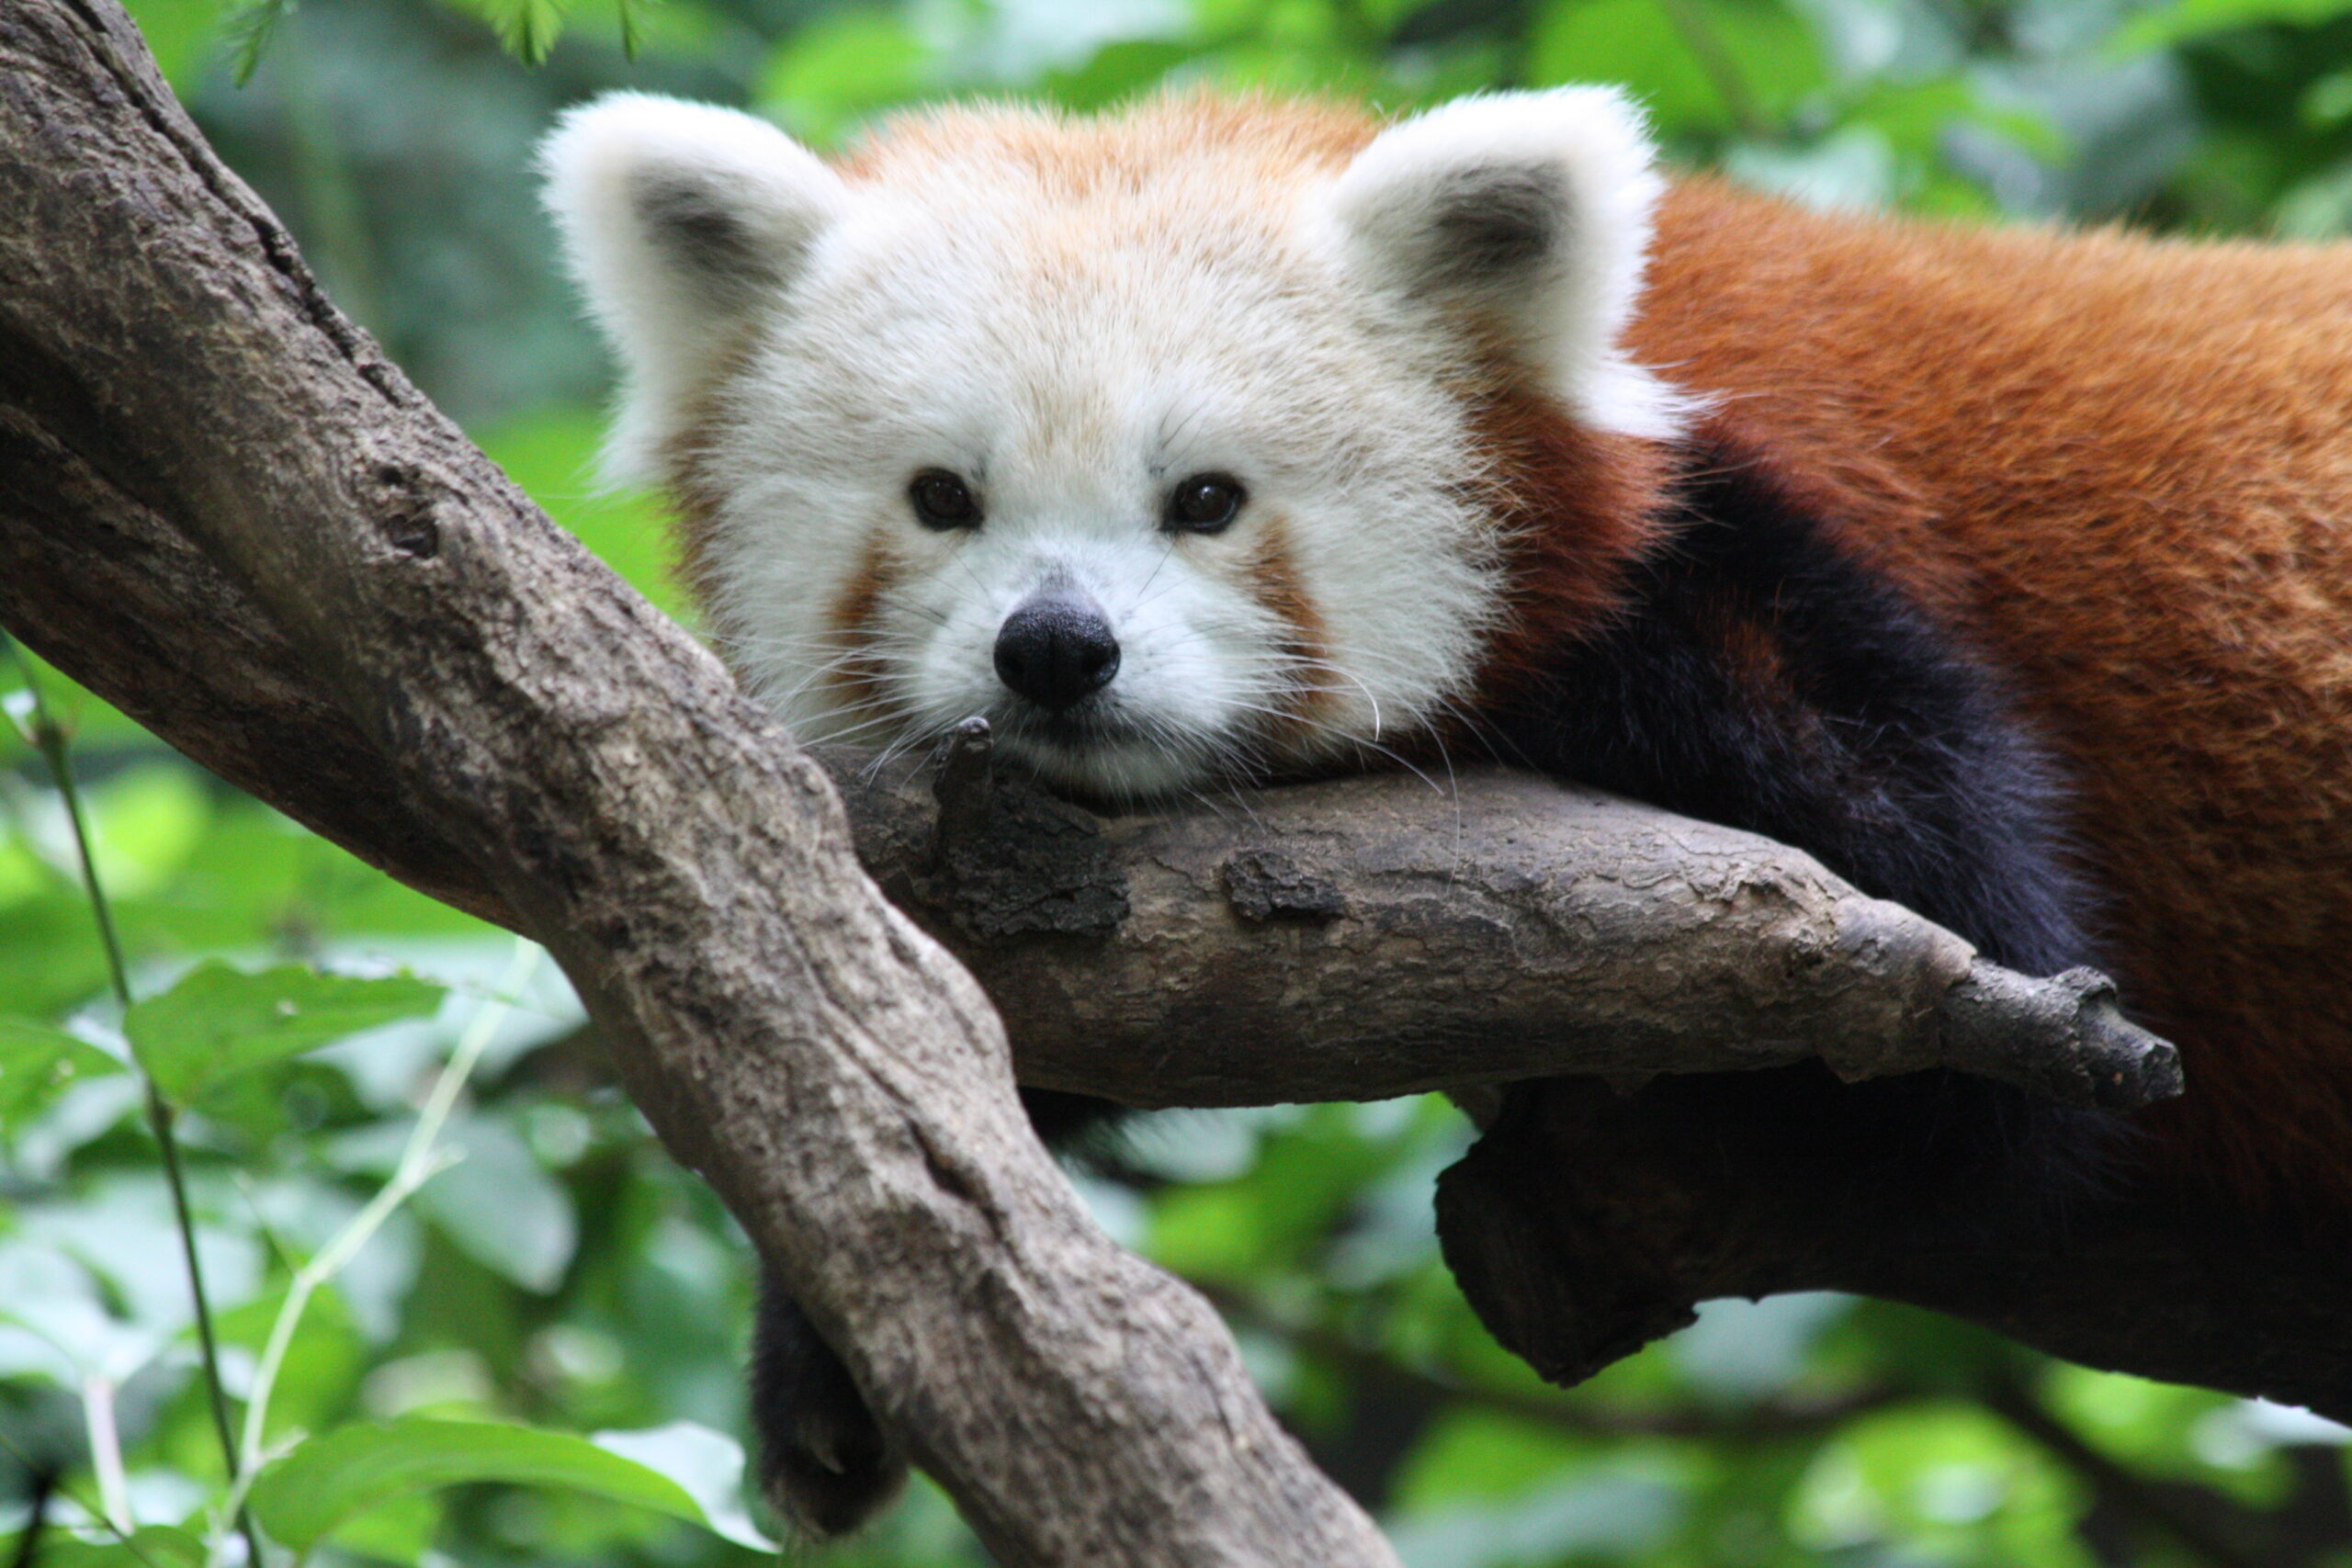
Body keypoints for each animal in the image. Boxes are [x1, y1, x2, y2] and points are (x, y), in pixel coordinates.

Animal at [540, 83, 2352, 1532]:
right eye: (941, 498)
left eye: (1208, 500)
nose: (1056, 647)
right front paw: (824, 1358)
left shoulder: (1809, 582)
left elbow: (1964, 1012)